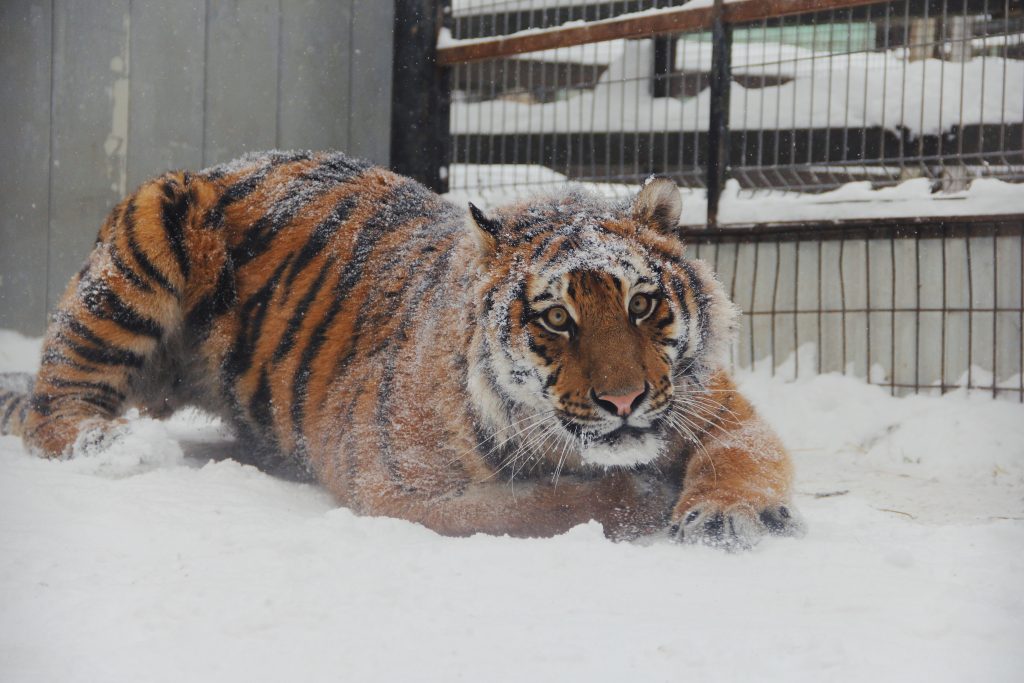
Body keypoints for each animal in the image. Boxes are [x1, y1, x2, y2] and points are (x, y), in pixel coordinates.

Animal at [0, 150, 803, 548]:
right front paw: (642, 499)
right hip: (144, 243)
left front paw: (725, 514)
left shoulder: (715, 402)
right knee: (53, 404)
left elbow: (745, 453)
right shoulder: (402, 487)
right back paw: (106, 444)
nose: (625, 400)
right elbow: (543, 505)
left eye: (641, 303)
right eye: (556, 318)